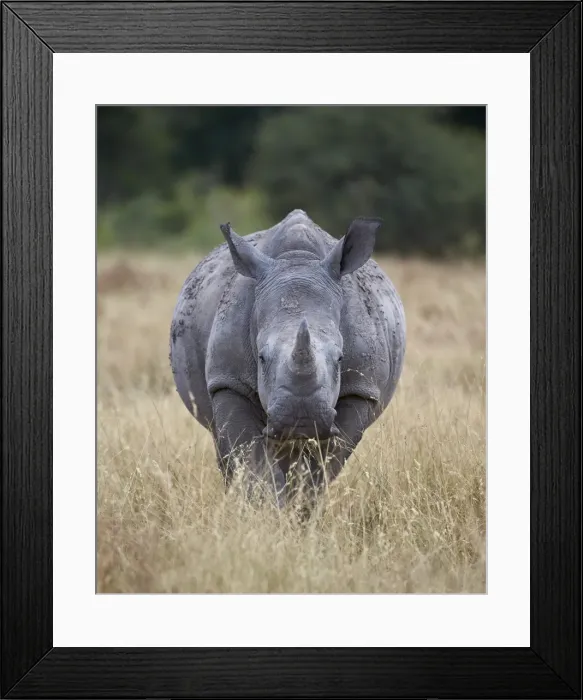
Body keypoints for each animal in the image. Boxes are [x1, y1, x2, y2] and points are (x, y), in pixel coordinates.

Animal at [170, 209, 405, 512]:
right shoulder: (230, 381)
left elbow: (322, 469)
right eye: (261, 357)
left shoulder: (360, 390)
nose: (301, 419)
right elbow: (252, 463)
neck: (297, 259)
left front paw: (299, 512)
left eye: (340, 358)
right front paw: (266, 513)